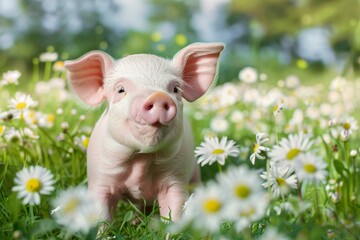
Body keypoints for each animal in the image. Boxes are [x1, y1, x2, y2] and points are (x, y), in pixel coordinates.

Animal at [63, 42, 224, 221]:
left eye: (175, 89)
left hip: (195, 172)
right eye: (121, 90)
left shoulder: (176, 178)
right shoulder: (100, 177)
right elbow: (101, 214)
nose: (158, 96)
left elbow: (174, 210)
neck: (141, 160)